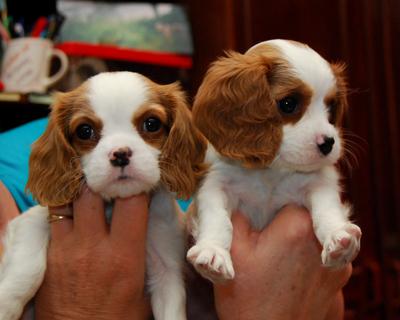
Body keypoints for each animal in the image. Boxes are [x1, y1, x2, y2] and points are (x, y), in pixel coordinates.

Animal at [0, 72, 206, 320]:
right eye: (84, 130)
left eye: (152, 124)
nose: (120, 154)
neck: (112, 205)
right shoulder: (31, 221)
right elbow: (27, 267)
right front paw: (6, 304)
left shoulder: (167, 263)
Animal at [188, 38, 362, 282]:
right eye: (288, 104)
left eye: (331, 108)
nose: (328, 143)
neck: (272, 169)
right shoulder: (215, 185)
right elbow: (217, 218)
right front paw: (213, 252)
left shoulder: (319, 183)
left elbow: (327, 208)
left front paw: (338, 237)